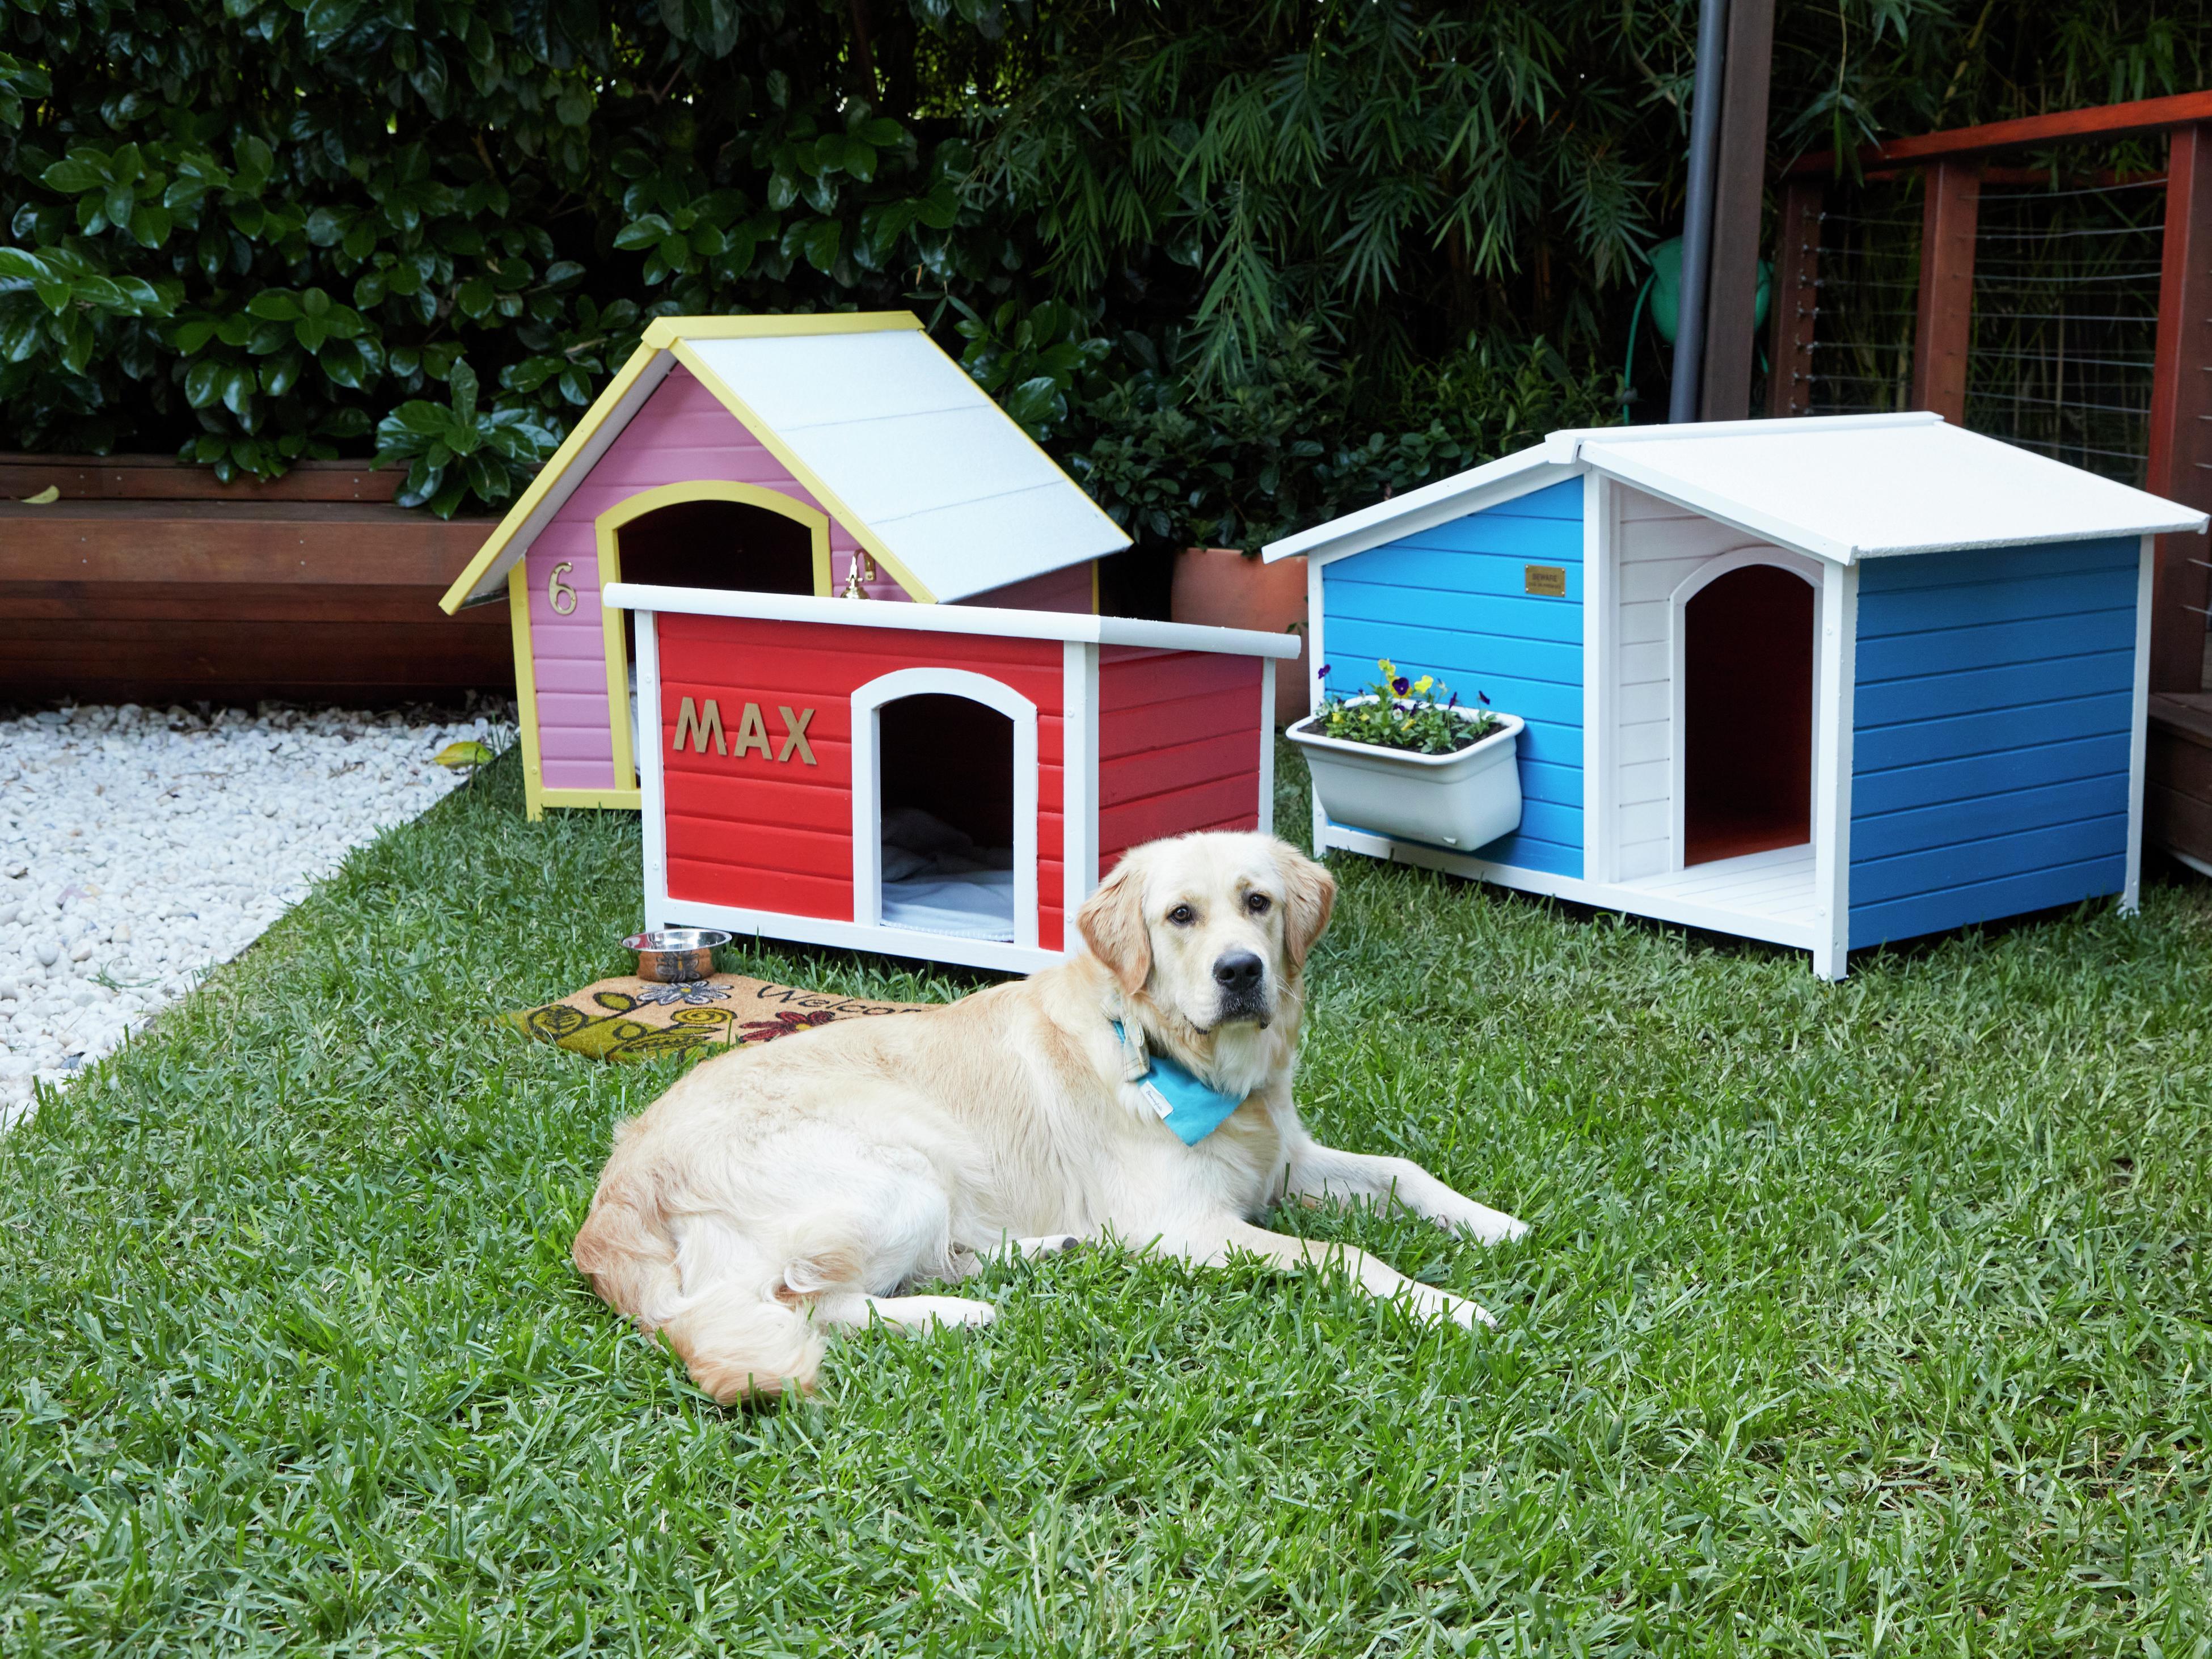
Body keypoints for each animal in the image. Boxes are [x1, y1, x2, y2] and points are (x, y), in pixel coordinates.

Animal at [575, 831, 1522, 1407]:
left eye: (1257, 901)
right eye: (1181, 916)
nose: (1242, 972)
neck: (1179, 1054)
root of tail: (617, 1190)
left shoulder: (1283, 1157)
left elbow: (1403, 1171)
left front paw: (1494, 1222)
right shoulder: (1182, 1225)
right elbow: (1343, 1254)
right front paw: (1448, 1307)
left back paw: (1044, 1252)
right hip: (898, 1166)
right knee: (800, 1303)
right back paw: (964, 1315)